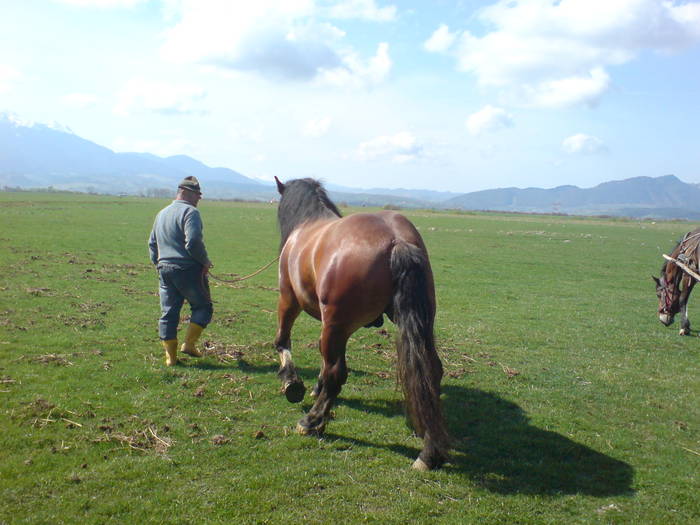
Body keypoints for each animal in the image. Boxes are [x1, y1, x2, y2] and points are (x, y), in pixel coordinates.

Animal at [272, 177, 448, 470]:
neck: (308, 225)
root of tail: (396, 240)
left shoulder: (289, 299)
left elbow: (282, 341)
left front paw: (291, 382)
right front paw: (314, 387)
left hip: (333, 324)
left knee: (336, 373)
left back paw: (312, 422)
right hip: (411, 321)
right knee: (432, 369)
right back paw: (430, 449)